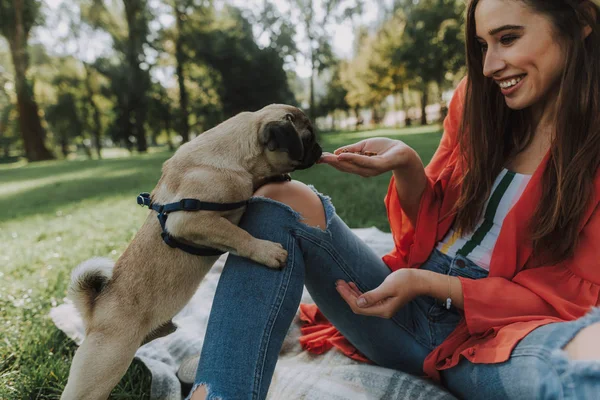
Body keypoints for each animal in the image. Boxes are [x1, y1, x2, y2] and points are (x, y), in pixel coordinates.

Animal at [61, 104, 322, 400]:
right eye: (307, 138)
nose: (320, 150)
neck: (236, 155)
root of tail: (94, 311)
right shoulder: (189, 221)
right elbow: (238, 235)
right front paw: (266, 251)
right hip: (102, 370)